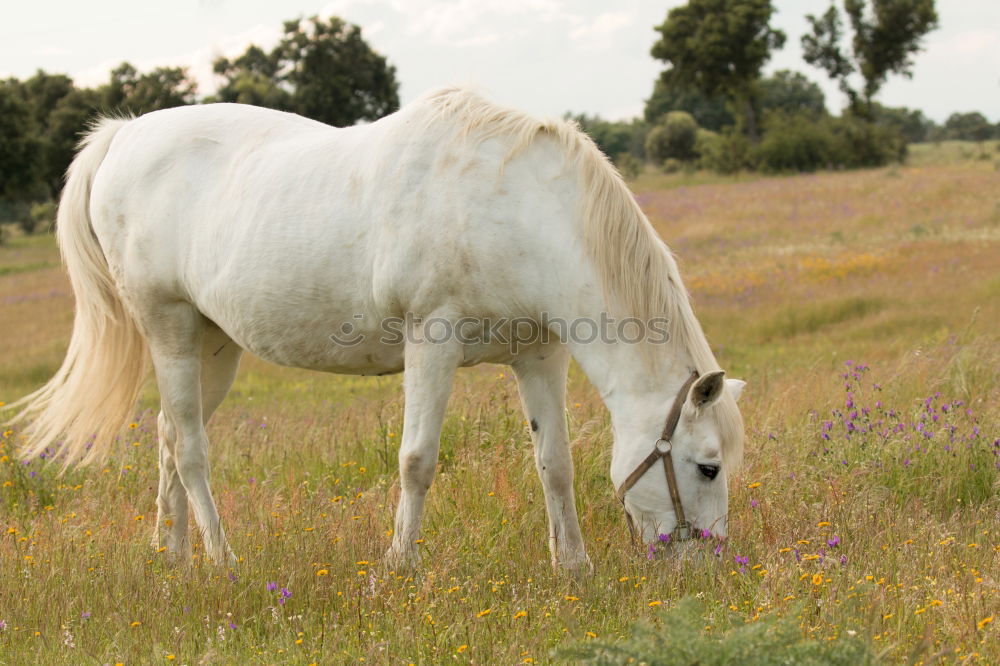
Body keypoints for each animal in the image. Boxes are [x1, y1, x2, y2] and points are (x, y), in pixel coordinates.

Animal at [7, 85, 744, 568]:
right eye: (707, 467)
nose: (708, 566)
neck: (512, 206)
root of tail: (124, 136)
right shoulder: (432, 343)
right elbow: (417, 461)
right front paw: (398, 568)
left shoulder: (539, 357)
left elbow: (554, 464)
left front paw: (574, 568)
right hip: (169, 329)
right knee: (189, 450)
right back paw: (222, 560)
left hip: (211, 345)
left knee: (166, 436)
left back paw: (173, 555)